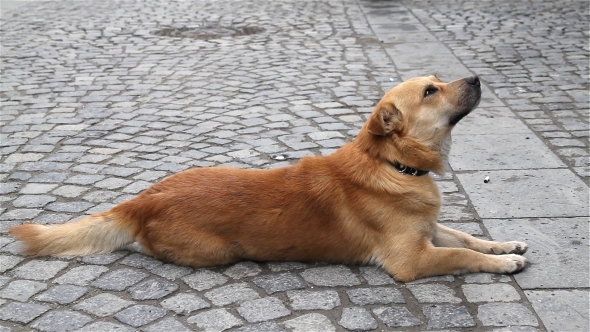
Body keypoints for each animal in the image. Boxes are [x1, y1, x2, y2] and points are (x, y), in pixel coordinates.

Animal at [9, 74, 528, 280]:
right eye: (430, 91)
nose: (476, 78)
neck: (392, 165)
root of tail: (140, 200)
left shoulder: (429, 228)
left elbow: (467, 236)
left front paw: (506, 244)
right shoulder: (412, 259)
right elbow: (462, 253)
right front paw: (504, 264)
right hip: (218, 252)